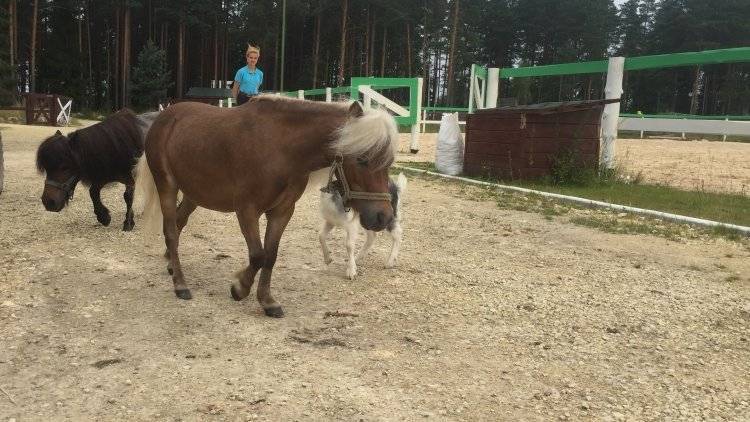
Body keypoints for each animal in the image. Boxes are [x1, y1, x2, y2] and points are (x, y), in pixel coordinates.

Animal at [138, 96, 402, 316]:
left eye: (389, 161)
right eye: (362, 159)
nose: (384, 217)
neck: (281, 147)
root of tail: (164, 117)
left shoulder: (282, 211)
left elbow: (271, 256)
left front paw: (267, 301)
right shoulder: (246, 210)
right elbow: (257, 255)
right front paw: (239, 288)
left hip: (194, 194)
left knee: (179, 223)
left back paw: (171, 266)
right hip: (167, 187)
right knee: (171, 232)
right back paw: (180, 285)